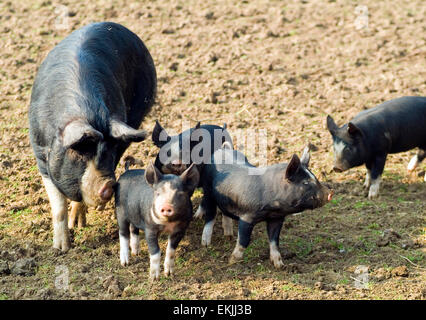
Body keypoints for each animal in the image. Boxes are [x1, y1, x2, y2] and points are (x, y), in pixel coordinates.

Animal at [29, 22, 157, 252]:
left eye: (110, 151)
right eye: (81, 153)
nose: (110, 185)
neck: (86, 113)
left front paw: (76, 227)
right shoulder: (40, 155)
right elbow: (58, 206)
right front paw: (61, 248)